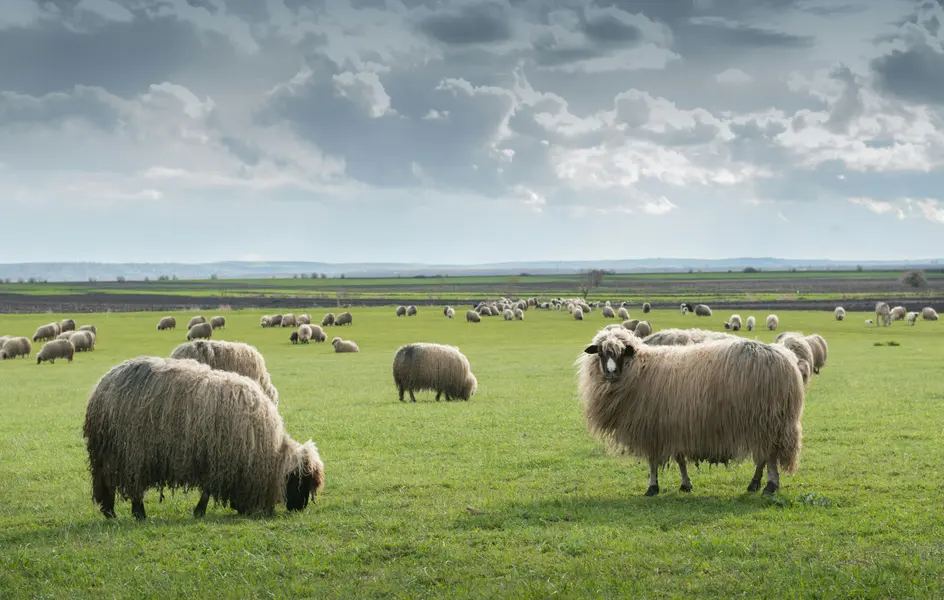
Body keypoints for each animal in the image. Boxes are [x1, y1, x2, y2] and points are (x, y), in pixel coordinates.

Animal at [83, 356, 324, 520]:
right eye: (300, 481)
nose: (299, 509)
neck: (268, 452)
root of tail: (101, 386)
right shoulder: (219, 460)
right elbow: (207, 490)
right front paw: (200, 511)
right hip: (131, 452)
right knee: (130, 486)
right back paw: (137, 513)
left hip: (111, 453)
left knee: (106, 483)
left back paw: (111, 512)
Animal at [576, 327, 805, 496]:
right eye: (600, 353)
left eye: (622, 352)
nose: (611, 372)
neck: (639, 369)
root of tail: (786, 359)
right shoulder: (674, 425)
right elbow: (679, 459)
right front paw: (685, 484)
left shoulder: (652, 427)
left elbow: (653, 461)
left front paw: (652, 487)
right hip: (764, 422)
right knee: (764, 455)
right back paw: (755, 483)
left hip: (768, 420)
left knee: (770, 455)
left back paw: (770, 485)